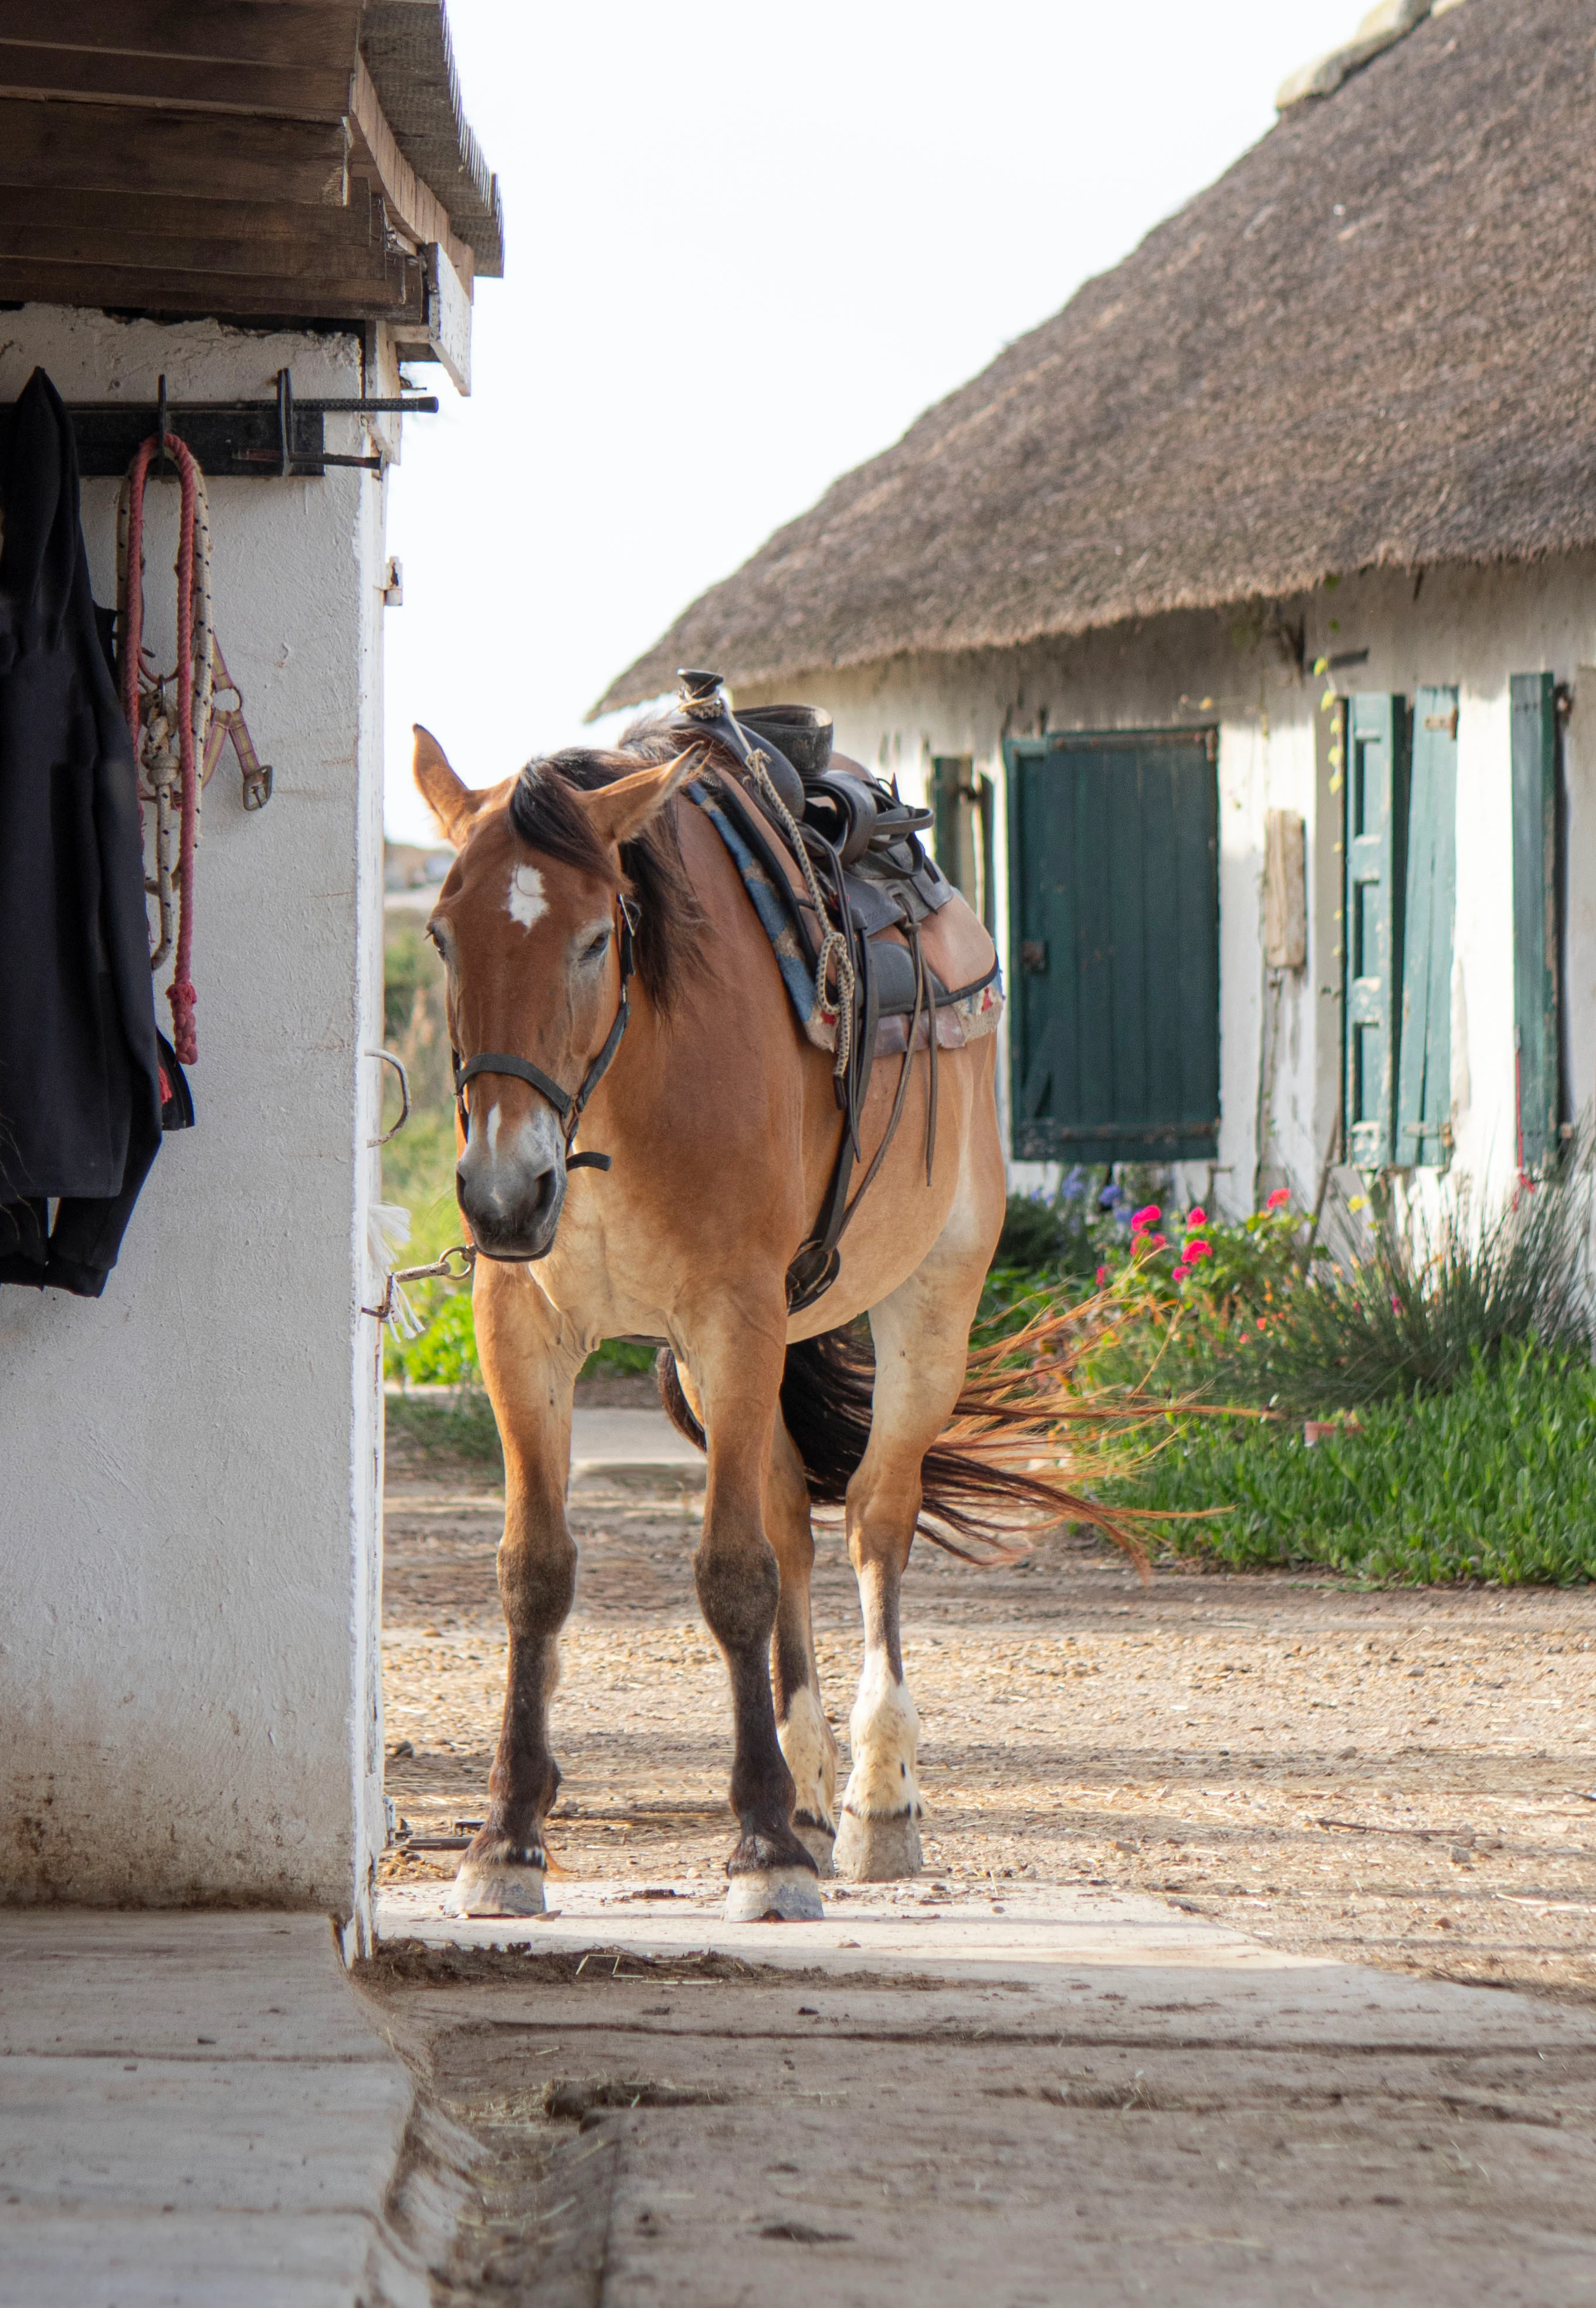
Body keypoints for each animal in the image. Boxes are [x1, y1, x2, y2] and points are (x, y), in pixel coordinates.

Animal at [412, 715, 1125, 1921]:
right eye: (442, 937)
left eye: (595, 939)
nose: (505, 1194)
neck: (625, 1093)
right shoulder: (525, 1330)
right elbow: (535, 1571)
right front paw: (506, 1839)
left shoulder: (732, 1318)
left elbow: (732, 1573)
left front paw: (763, 1851)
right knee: (794, 1520)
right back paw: (807, 1782)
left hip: (926, 1305)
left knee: (875, 1519)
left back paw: (876, 1796)